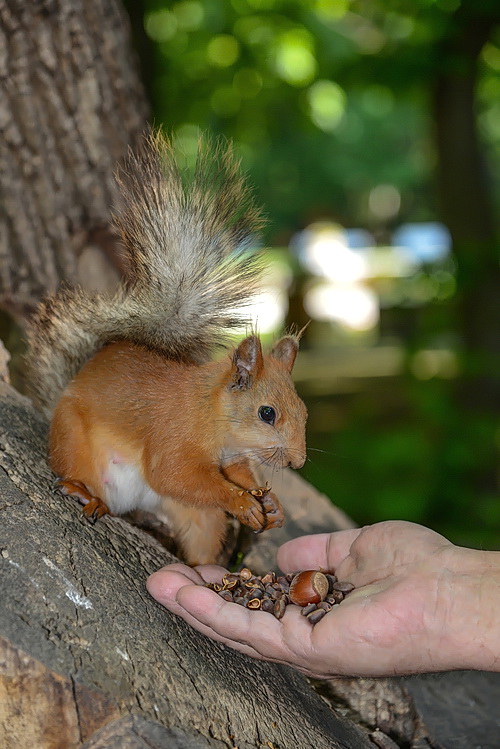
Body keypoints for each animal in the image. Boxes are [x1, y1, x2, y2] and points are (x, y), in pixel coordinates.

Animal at [27, 131, 310, 568]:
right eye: (267, 413)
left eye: (304, 410)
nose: (298, 462)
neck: (210, 414)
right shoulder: (172, 438)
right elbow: (175, 474)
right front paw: (242, 503)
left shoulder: (232, 458)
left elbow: (241, 475)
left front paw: (273, 505)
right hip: (73, 440)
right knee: (76, 468)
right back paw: (83, 493)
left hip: (196, 517)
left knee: (201, 536)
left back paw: (208, 572)